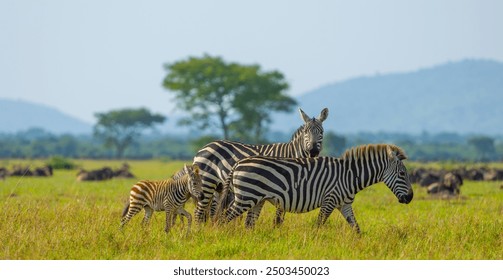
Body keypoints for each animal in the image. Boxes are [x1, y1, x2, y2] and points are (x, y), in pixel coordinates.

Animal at [191, 106, 328, 224]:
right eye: (306, 132)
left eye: (321, 132)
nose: (313, 151)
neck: (292, 154)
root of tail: (204, 147)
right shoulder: (285, 190)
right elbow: (278, 219)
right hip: (207, 182)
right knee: (199, 212)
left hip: (219, 187)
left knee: (210, 212)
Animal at [219, 143, 416, 233]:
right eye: (402, 174)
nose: (410, 198)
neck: (350, 175)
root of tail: (238, 163)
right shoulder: (329, 200)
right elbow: (319, 225)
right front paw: (314, 243)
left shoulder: (344, 204)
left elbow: (356, 228)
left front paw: (361, 245)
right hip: (246, 197)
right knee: (223, 218)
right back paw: (218, 236)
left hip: (257, 200)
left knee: (248, 224)